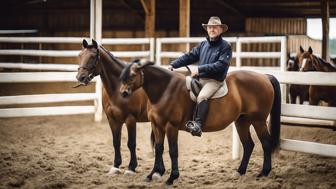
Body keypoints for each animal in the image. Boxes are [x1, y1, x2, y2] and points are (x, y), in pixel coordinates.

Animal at [75, 39, 156, 176]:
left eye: (92, 56)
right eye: (80, 55)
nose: (80, 77)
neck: (118, 89)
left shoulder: (130, 119)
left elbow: (131, 143)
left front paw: (131, 167)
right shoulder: (112, 119)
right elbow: (116, 142)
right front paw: (116, 166)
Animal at [118, 59, 280, 185]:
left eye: (132, 75)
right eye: (122, 76)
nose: (123, 93)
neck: (164, 90)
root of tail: (264, 76)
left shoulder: (171, 126)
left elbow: (173, 151)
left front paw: (172, 178)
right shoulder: (157, 125)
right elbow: (159, 148)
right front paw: (153, 174)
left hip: (258, 121)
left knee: (265, 143)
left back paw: (264, 173)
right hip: (242, 121)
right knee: (248, 145)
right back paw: (240, 172)